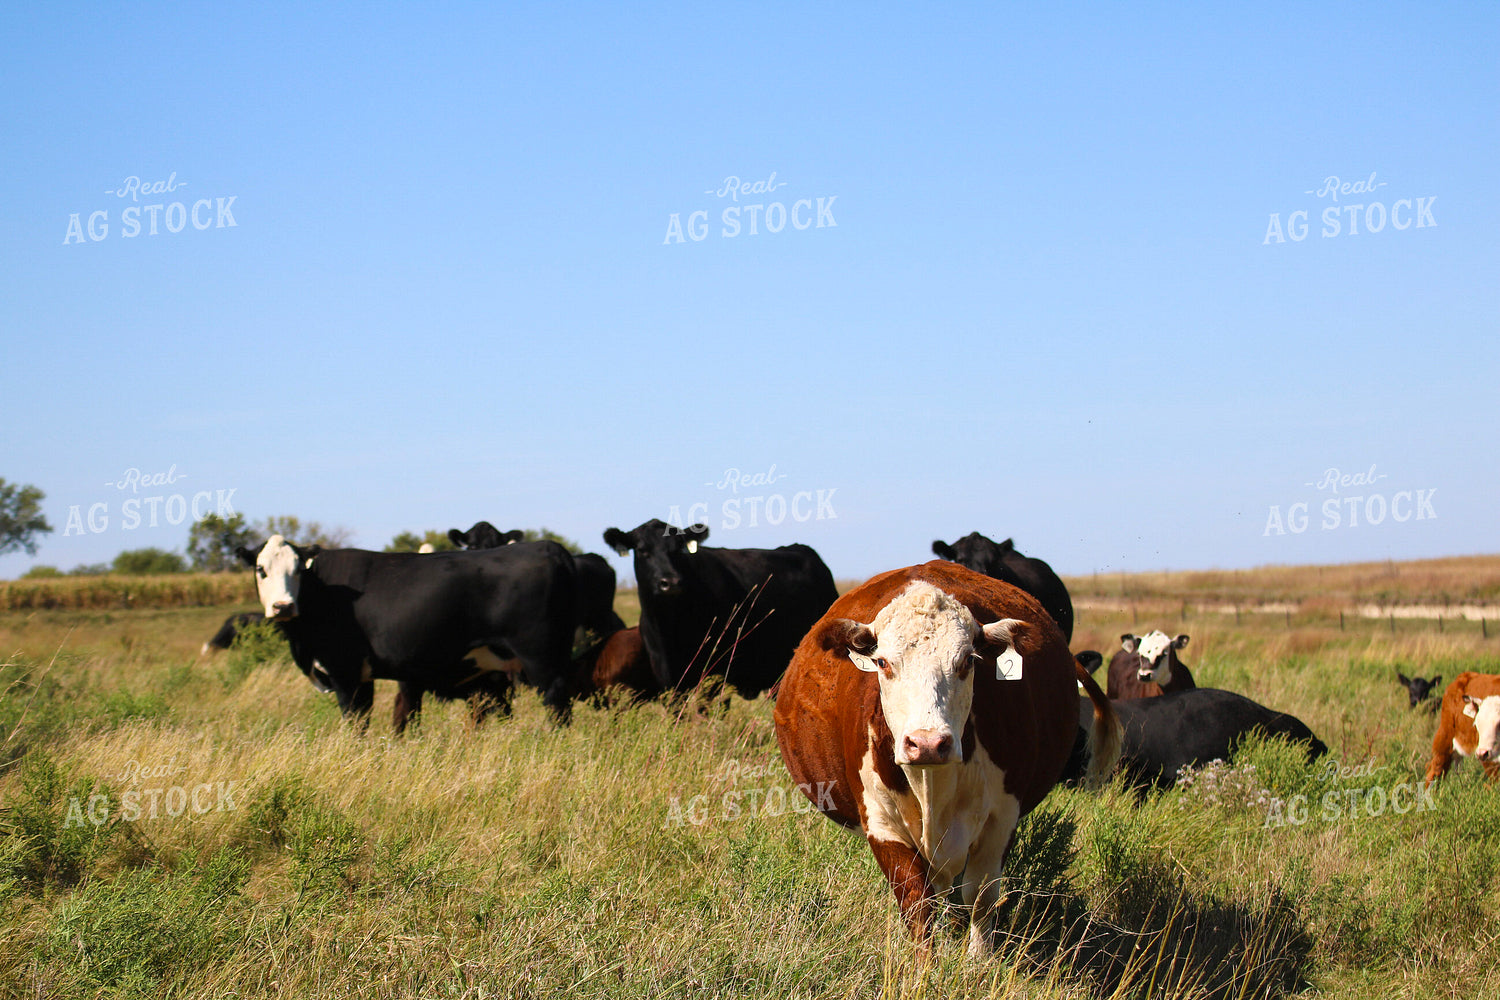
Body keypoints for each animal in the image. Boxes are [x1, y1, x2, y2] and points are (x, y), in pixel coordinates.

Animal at [235, 534, 578, 731]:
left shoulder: (344, 671)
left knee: (557, 706)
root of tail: (548, 547)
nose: (283, 606)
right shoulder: (362, 676)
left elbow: (354, 725)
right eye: (261, 569)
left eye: (297, 570)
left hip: (540, 659)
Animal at [602, 520, 838, 699]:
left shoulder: (716, 673)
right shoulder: (669, 677)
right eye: (643, 550)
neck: (667, 627)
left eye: (677, 549)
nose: (670, 582)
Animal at [773, 561, 1120, 956]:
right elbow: (916, 904)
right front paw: (925, 964)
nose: (927, 743)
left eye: (968, 660)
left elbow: (981, 896)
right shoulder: (882, 823)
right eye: (882, 662)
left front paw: (977, 961)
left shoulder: (1002, 819)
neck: (932, 784)